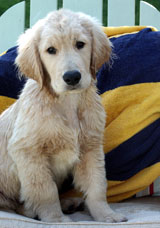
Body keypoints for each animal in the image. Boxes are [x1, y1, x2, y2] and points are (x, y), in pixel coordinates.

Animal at [0, 9, 126, 223]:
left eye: (80, 44)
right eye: (51, 50)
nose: (72, 77)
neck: (67, 103)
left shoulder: (90, 148)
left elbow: (97, 185)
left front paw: (106, 214)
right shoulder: (29, 152)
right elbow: (45, 190)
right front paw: (55, 219)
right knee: (12, 205)